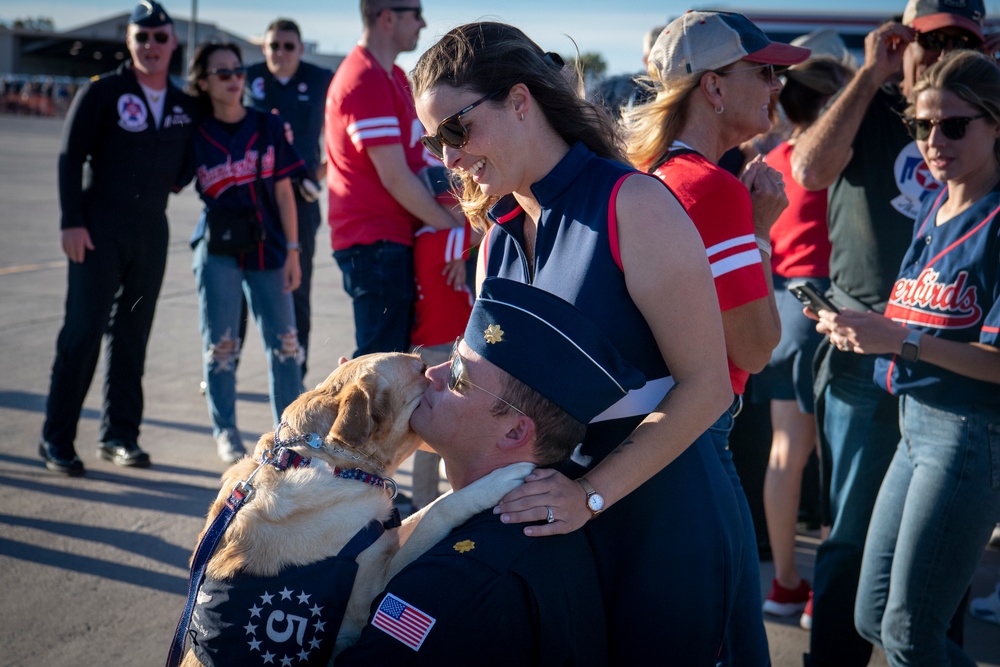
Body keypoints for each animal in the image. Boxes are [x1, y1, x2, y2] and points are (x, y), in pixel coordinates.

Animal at [174, 352, 532, 664]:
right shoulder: (372, 592)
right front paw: (500, 480)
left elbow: (421, 513)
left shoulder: (382, 532)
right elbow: (438, 510)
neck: (323, 459)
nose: (441, 373)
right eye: (422, 370)